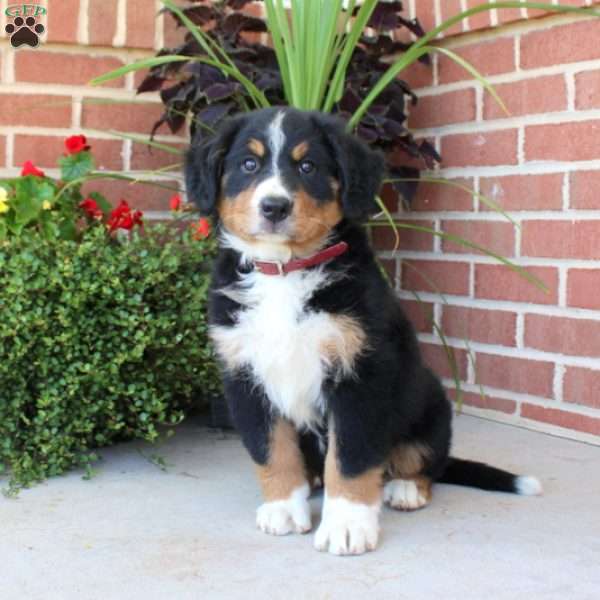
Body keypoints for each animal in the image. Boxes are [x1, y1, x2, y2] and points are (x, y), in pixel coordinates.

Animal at [185, 108, 540, 556]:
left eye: (308, 166)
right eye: (249, 164)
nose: (274, 206)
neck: (285, 271)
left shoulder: (360, 374)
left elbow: (350, 458)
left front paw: (347, 525)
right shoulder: (245, 375)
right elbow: (272, 450)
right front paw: (284, 507)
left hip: (430, 405)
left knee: (427, 462)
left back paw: (406, 488)